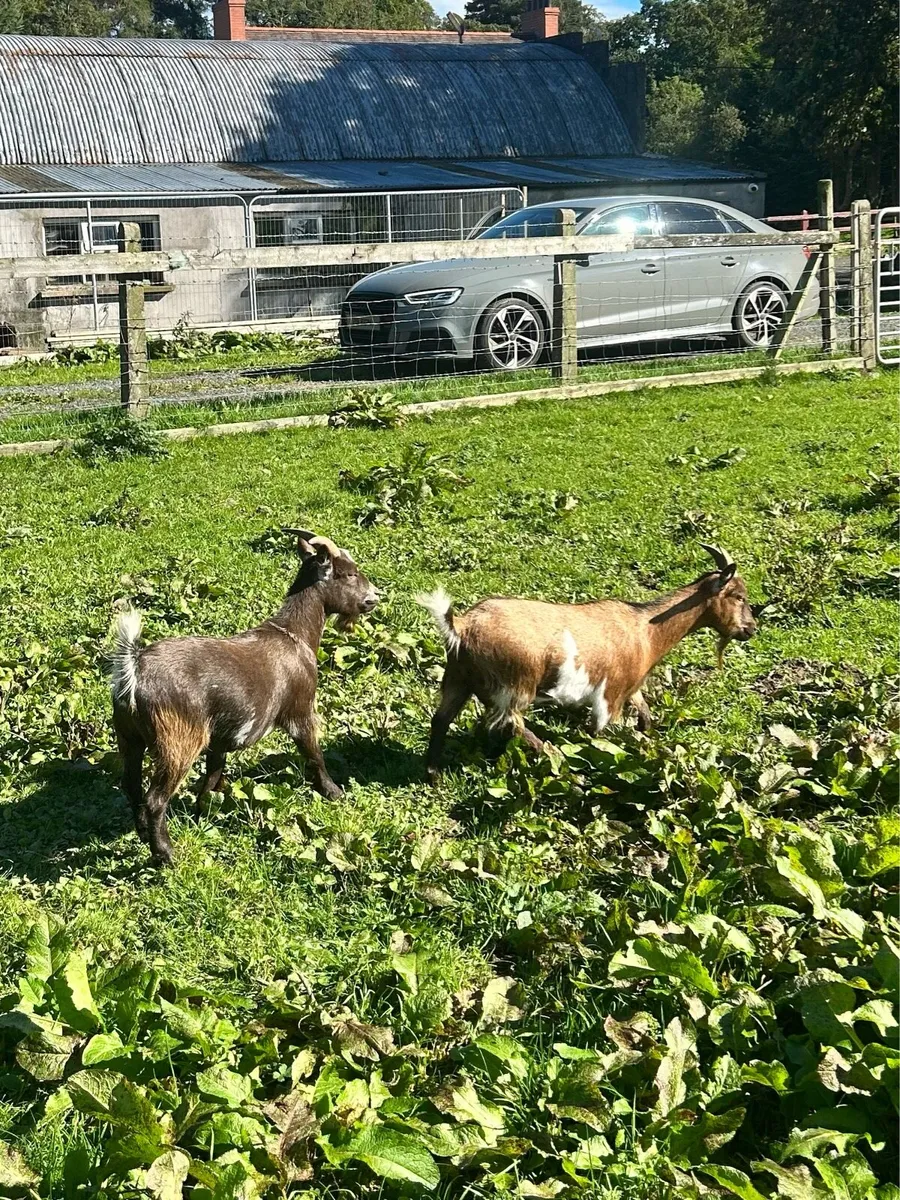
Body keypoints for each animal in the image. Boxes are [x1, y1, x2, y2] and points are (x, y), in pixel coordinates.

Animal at [111, 532, 378, 866]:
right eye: (350, 573)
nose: (375, 596)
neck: (295, 635)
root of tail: (134, 670)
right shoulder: (300, 711)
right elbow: (314, 755)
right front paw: (333, 793)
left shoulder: (219, 738)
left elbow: (213, 776)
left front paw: (204, 814)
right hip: (178, 739)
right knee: (154, 799)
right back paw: (166, 855)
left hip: (129, 736)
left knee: (132, 786)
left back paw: (144, 835)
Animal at [419, 544, 756, 779]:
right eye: (739, 596)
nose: (751, 629)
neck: (646, 630)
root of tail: (463, 625)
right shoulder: (610, 696)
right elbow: (601, 734)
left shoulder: (632, 686)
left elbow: (645, 715)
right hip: (515, 685)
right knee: (511, 724)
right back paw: (555, 756)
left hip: (457, 679)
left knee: (441, 719)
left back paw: (433, 775)